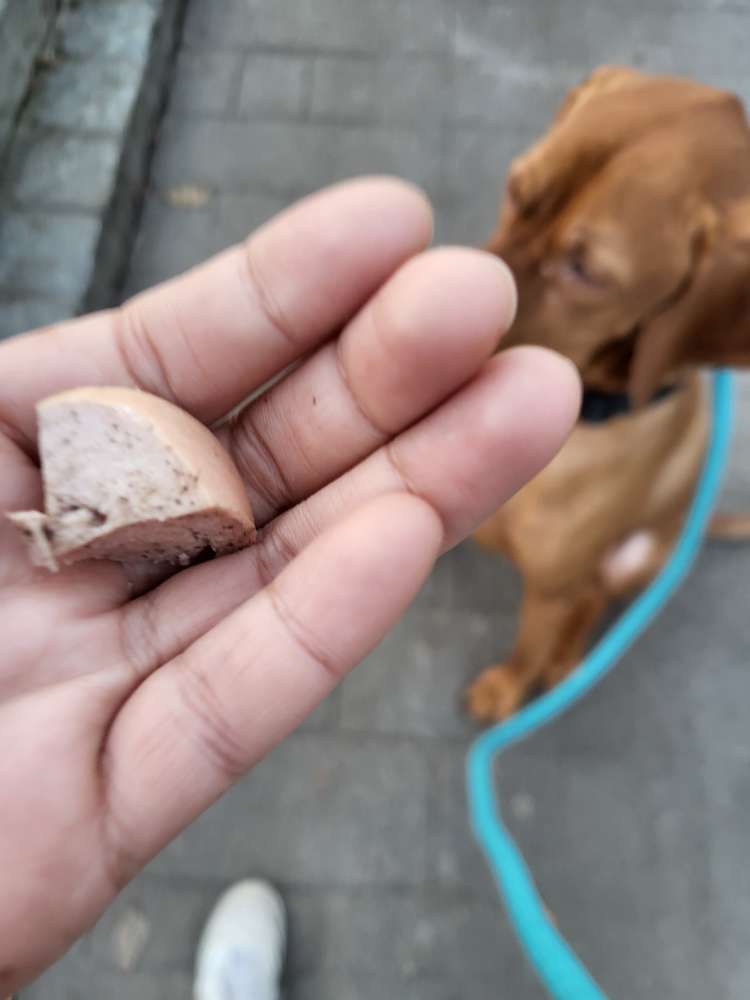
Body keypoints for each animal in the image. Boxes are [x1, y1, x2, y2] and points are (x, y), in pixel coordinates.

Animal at [468, 66, 748, 724]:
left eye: (586, 272)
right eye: (516, 189)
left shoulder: (550, 588)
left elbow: (528, 645)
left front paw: (507, 689)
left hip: (636, 557)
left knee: (593, 603)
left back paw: (567, 662)